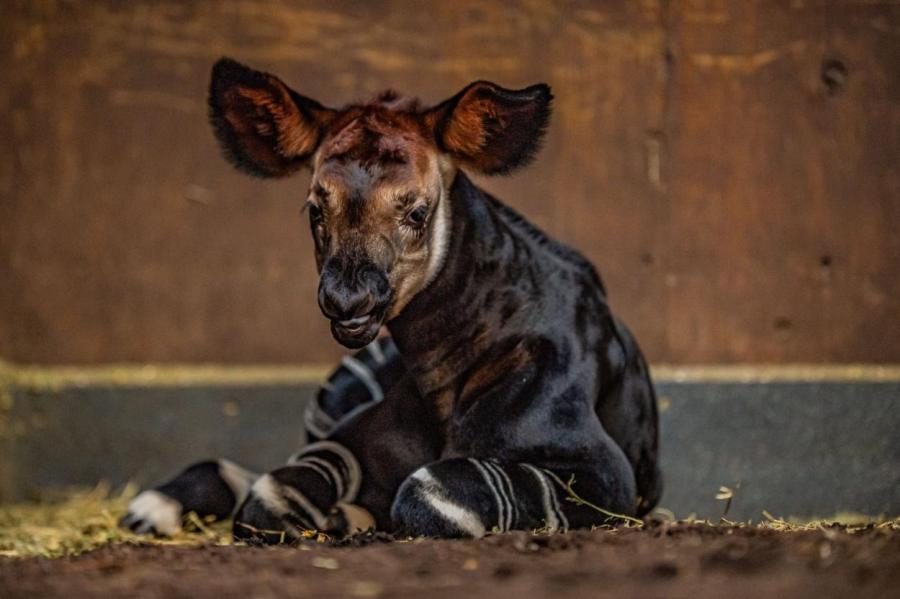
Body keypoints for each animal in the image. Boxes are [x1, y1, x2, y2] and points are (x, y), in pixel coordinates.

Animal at [119, 58, 660, 540]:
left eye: (417, 212)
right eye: (314, 209)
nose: (348, 300)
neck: (443, 384)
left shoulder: (602, 477)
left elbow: (431, 491)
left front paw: (351, 518)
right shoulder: (346, 443)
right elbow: (271, 495)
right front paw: (343, 516)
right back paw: (149, 510)